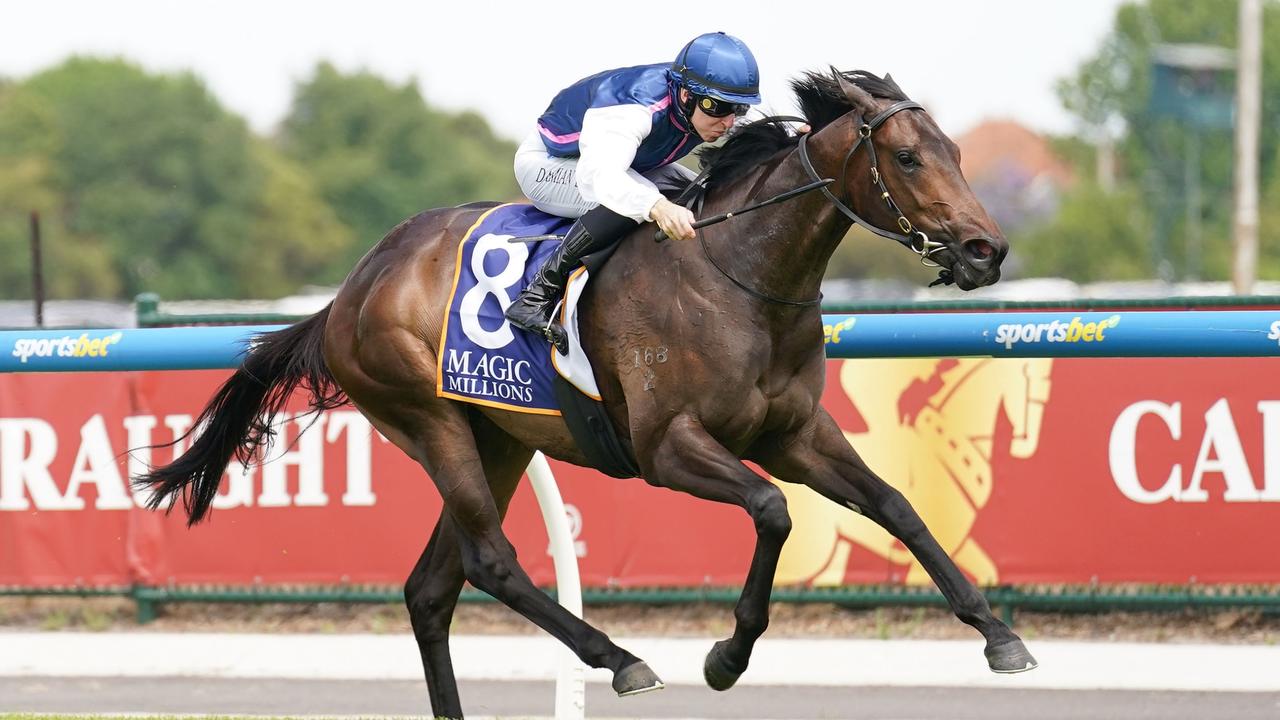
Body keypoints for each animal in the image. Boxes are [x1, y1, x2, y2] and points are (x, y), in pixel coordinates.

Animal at [137, 68, 1029, 717]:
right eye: (908, 158)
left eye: (955, 151)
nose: (985, 249)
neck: (737, 275)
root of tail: (351, 290)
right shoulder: (668, 446)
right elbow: (773, 511)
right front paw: (726, 657)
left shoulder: (797, 433)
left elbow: (897, 507)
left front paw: (996, 632)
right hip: (429, 421)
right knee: (491, 561)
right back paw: (621, 659)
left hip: (497, 437)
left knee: (430, 590)